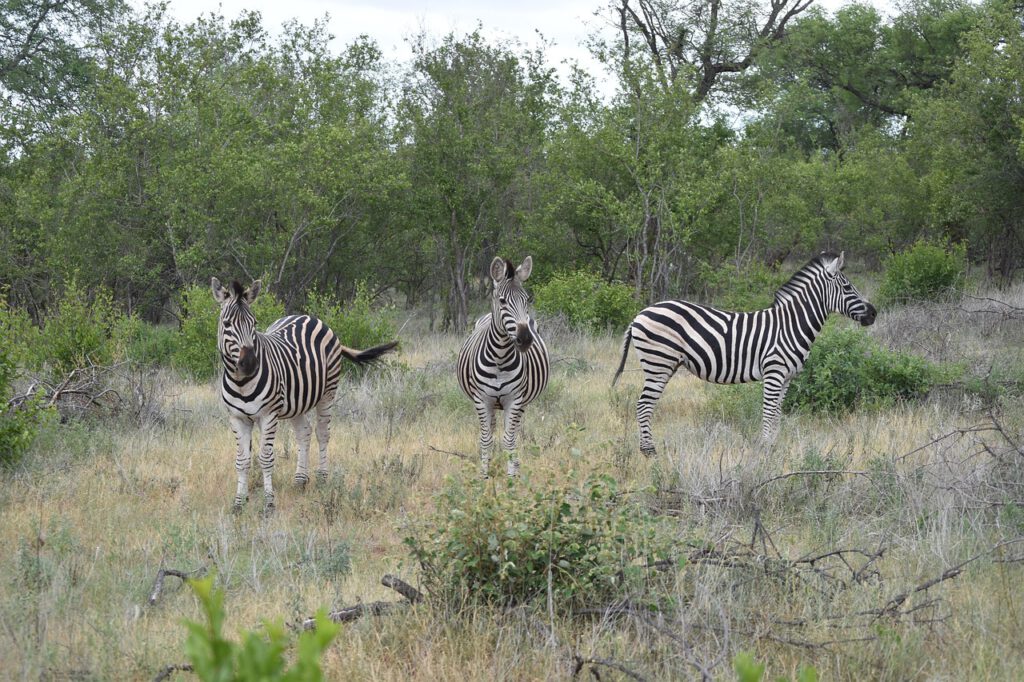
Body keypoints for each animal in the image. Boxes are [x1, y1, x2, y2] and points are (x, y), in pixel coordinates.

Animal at [212, 278, 398, 512]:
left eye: (254, 323)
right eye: (227, 324)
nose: (250, 364)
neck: (241, 382)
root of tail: (308, 316)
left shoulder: (268, 415)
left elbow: (265, 458)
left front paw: (269, 504)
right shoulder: (237, 418)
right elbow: (242, 460)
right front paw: (238, 503)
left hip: (328, 393)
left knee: (322, 433)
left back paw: (322, 478)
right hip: (296, 402)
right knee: (304, 432)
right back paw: (300, 480)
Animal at [457, 256, 549, 478]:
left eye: (527, 300)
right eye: (502, 301)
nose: (525, 339)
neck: (500, 358)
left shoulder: (515, 400)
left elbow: (509, 439)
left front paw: (511, 478)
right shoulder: (481, 399)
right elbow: (486, 438)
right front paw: (483, 476)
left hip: (522, 402)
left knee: (513, 431)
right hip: (489, 403)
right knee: (490, 429)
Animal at [613, 252, 876, 456]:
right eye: (847, 287)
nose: (873, 314)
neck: (790, 325)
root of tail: (640, 314)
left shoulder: (787, 378)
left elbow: (777, 413)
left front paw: (773, 447)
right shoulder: (774, 373)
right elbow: (768, 412)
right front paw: (765, 449)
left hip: (664, 364)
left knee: (645, 405)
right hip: (658, 363)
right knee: (643, 405)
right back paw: (649, 451)